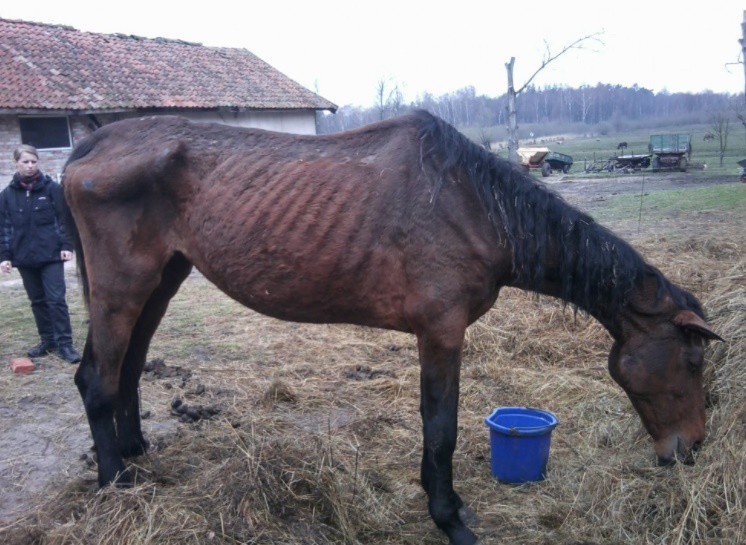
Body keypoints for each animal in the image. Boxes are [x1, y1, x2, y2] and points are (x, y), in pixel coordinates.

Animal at [64, 110, 720, 544]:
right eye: (693, 360)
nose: (689, 450)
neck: (473, 206)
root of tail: (93, 144)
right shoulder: (442, 334)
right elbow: (441, 428)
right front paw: (449, 517)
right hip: (124, 286)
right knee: (97, 379)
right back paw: (116, 484)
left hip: (162, 280)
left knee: (127, 371)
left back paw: (136, 455)